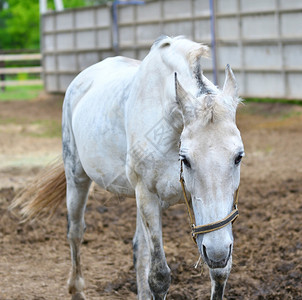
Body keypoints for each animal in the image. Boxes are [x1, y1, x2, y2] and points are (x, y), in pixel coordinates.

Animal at [11, 36, 244, 298]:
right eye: (186, 159)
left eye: (238, 157)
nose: (218, 251)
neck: (168, 122)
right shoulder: (147, 196)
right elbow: (159, 277)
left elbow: (219, 272)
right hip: (77, 178)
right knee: (75, 232)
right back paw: (77, 289)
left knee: (137, 250)